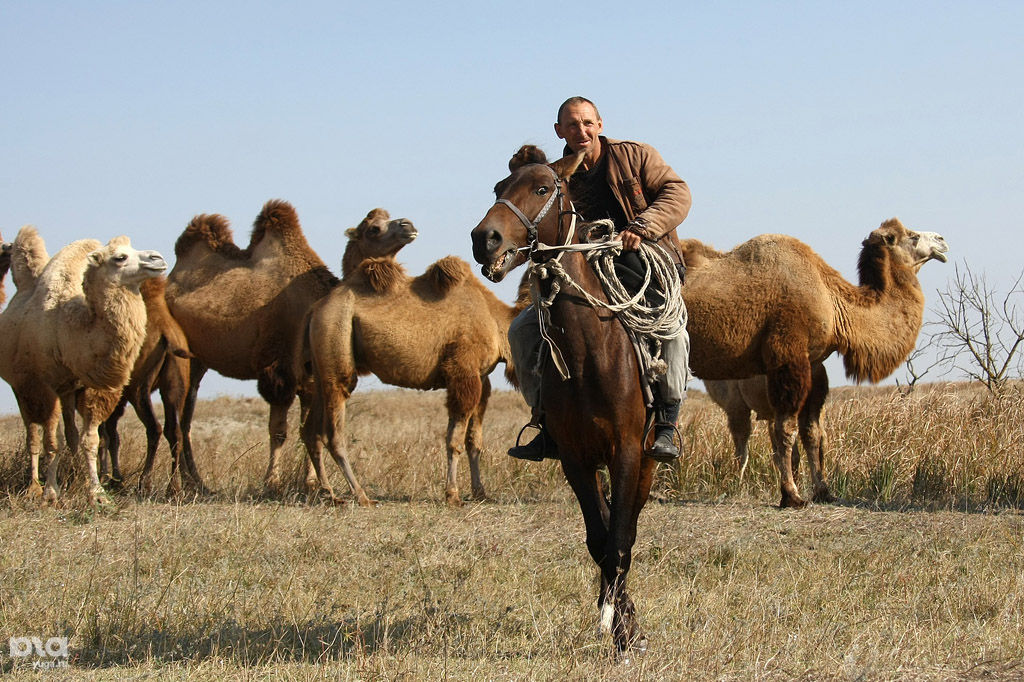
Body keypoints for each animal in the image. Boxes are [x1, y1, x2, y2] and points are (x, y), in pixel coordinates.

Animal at [0, 225, 165, 501]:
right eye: (120, 257)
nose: (158, 258)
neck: (70, 329)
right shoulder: (46, 386)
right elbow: (51, 441)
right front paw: (51, 492)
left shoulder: (89, 386)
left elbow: (91, 439)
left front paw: (95, 491)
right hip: (22, 385)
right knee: (32, 432)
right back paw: (34, 486)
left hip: (68, 391)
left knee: (71, 434)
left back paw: (73, 474)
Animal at [165, 199, 413, 491]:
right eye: (373, 228)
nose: (408, 224)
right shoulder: (277, 368)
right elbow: (279, 431)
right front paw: (271, 480)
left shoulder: (309, 375)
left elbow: (308, 428)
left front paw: (311, 481)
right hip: (183, 356)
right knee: (182, 416)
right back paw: (189, 481)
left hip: (200, 360)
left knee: (186, 416)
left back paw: (195, 480)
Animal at [296, 251, 520, 501]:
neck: (496, 321)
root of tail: (315, 309)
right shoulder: (462, 372)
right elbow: (454, 440)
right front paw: (452, 494)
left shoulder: (481, 379)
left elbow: (474, 441)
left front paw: (480, 492)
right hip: (335, 338)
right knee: (333, 431)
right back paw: (361, 495)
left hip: (320, 367)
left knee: (311, 431)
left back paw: (329, 492)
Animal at [473, 146, 663, 651]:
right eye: (498, 188)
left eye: (542, 188)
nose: (484, 238)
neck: (588, 354)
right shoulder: (576, 459)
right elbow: (599, 539)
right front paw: (616, 616)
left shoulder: (626, 453)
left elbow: (620, 541)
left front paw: (621, 634)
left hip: (648, 460)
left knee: (629, 526)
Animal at [679, 218, 942, 503]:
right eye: (912, 236)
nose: (941, 241)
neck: (833, 302)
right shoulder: (788, 354)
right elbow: (786, 428)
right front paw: (791, 495)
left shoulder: (814, 366)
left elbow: (812, 432)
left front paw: (823, 490)